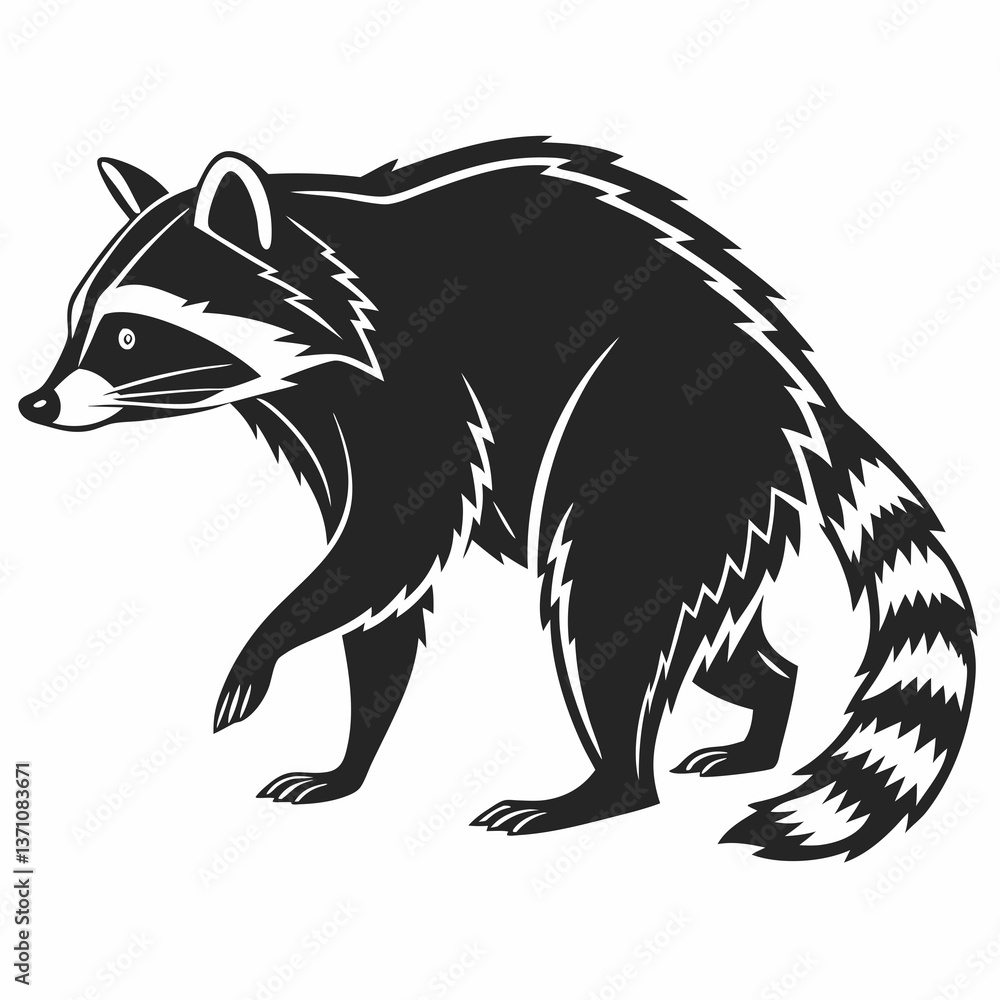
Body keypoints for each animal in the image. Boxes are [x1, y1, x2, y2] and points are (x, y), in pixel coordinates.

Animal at [20, 138, 975, 860]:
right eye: (75, 324)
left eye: (128, 334)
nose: (36, 405)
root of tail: (801, 396)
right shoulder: (335, 427)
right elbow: (384, 594)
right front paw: (352, 755)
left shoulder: (422, 375)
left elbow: (393, 543)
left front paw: (269, 641)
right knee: (706, 636)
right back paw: (764, 711)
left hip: (663, 444)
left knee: (610, 606)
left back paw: (612, 785)